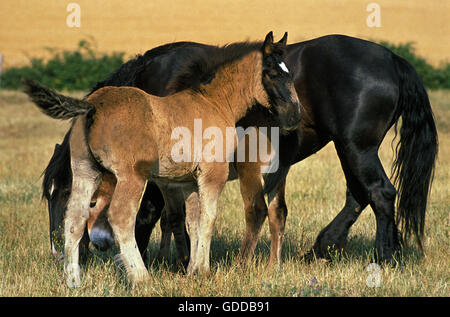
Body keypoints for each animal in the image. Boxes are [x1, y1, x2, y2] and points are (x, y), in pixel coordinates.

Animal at [26, 32, 302, 286]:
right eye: (272, 74)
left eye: (290, 74)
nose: (295, 115)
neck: (213, 101)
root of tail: (93, 106)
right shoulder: (213, 173)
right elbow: (208, 218)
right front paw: (202, 270)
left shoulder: (187, 181)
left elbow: (191, 222)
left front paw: (191, 269)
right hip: (132, 176)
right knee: (121, 217)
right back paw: (141, 277)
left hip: (86, 171)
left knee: (75, 219)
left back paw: (72, 280)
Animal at [41, 33, 436, 266]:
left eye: (64, 191)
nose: (59, 250)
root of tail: (392, 59)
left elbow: (157, 214)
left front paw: (172, 260)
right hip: (349, 150)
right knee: (358, 194)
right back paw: (321, 249)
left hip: (357, 148)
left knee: (380, 193)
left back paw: (384, 257)